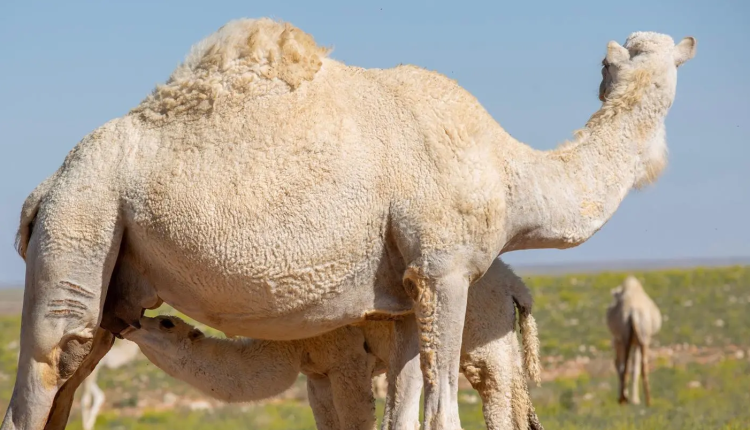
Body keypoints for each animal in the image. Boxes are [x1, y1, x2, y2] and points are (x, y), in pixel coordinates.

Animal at [123, 259, 544, 430]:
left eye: (166, 322)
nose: (131, 323)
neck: (288, 345)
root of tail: (516, 287)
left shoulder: (346, 360)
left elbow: (358, 418)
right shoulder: (317, 375)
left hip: (484, 339)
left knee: (496, 395)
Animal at [606, 276, 662, 406]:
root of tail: (633, 312)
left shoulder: (621, 341)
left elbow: (622, 366)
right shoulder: (636, 342)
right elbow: (634, 367)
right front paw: (634, 399)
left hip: (627, 339)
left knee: (625, 366)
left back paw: (624, 399)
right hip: (644, 339)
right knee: (642, 366)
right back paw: (647, 401)